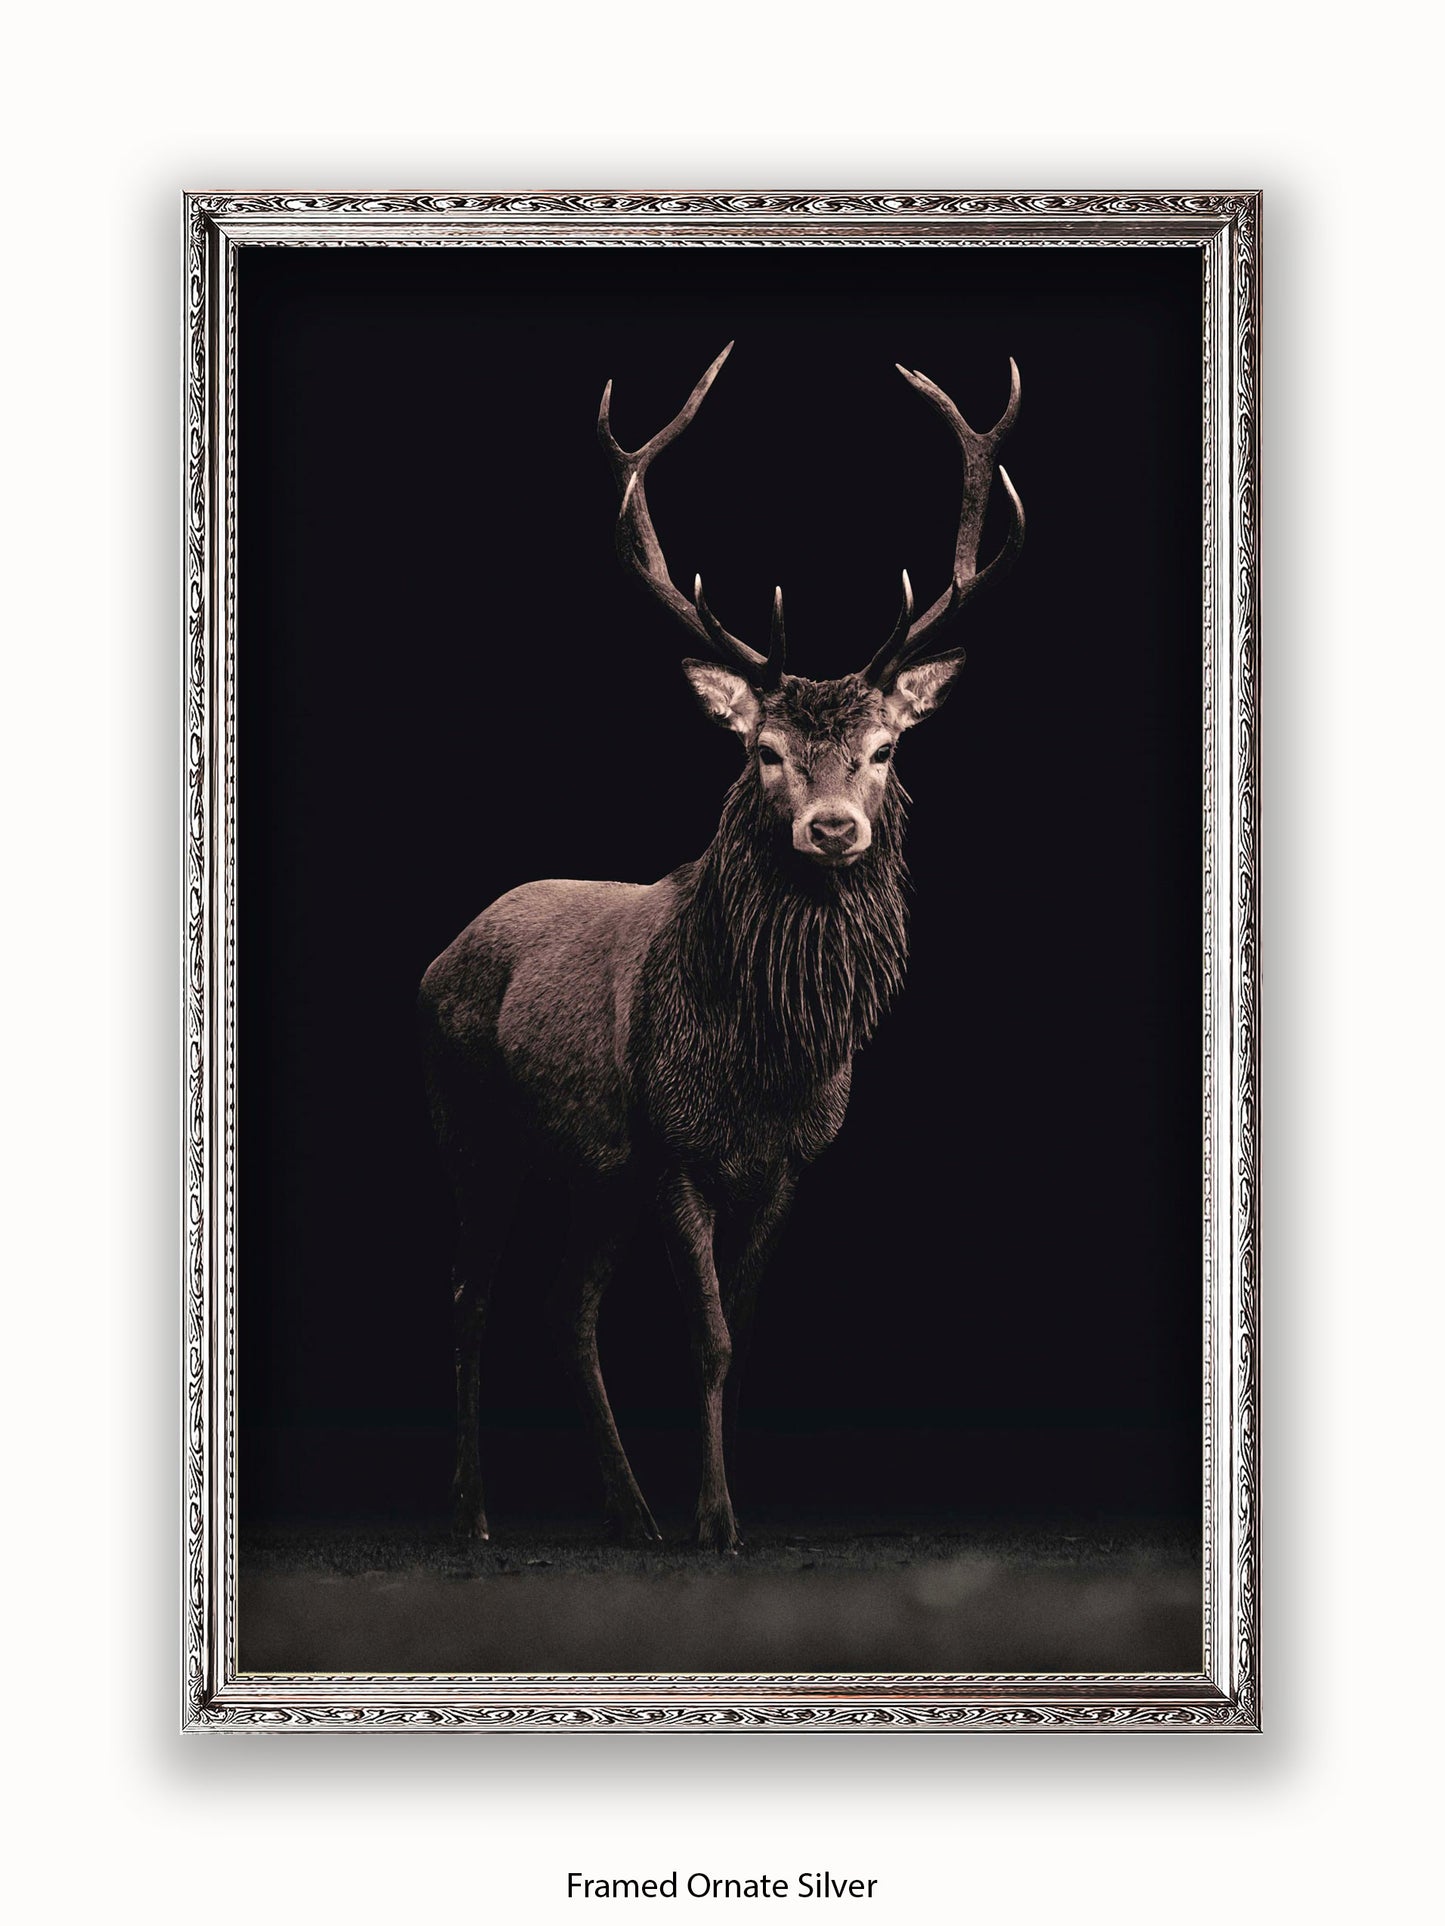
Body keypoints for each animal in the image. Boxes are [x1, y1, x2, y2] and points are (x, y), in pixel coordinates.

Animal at [419, 343, 1024, 1552]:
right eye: (764, 751)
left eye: (883, 749)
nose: (831, 829)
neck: (764, 1064)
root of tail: (438, 957)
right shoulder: (673, 1147)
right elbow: (703, 1333)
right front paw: (715, 1519)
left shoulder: (785, 1163)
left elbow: (738, 1341)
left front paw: (716, 1501)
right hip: (473, 1122)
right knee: (471, 1295)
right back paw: (475, 1512)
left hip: (591, 1166)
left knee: (565, 1305)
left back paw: (627, 1509)